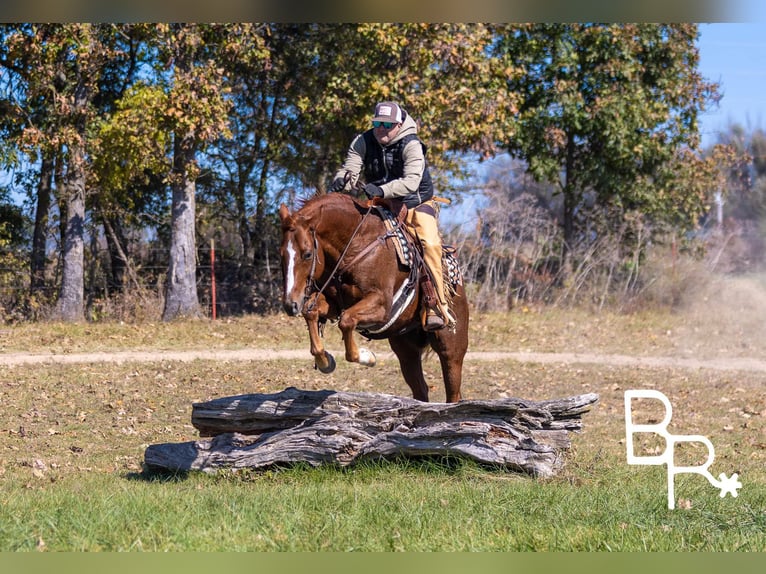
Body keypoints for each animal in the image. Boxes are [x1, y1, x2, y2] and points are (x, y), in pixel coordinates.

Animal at [276, 194, 468, 404]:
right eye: (281, 254)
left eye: (308, 254)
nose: (290, 304)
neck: (357, 243)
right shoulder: (336, 304)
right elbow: (312, 313)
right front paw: (325, 361)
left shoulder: (382, 305)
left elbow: (347, 321)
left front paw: (367, 356)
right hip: (406, 350)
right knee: (420, 389)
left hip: (451, 348)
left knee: (453, 392)